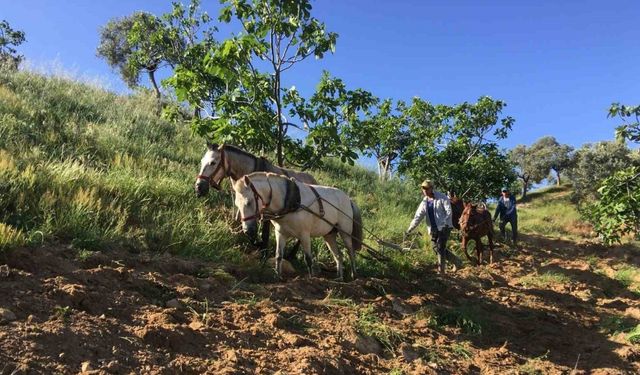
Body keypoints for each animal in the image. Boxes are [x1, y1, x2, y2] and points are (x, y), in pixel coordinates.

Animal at [232, 172, 362, 280]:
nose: (247, 230)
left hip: (345, 232)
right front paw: (277, 276)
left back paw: (354, 275)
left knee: (350, 251)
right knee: (338, 255)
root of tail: (349, 199)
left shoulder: (304, 234)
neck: (290, 200)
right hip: (329, 235)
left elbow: (308, 258)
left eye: (249, 202)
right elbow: (279, 255)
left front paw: (311, 279)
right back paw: (339, 278)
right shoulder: (280, 233)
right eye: (236, 204)